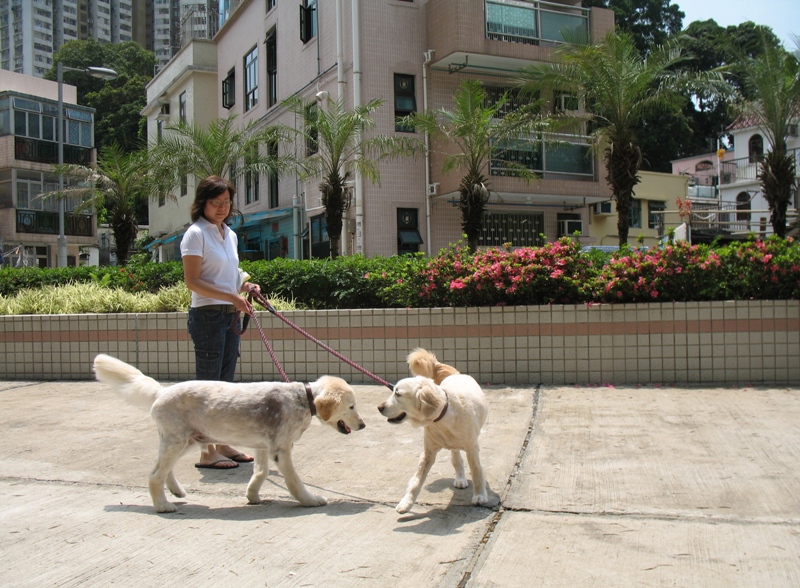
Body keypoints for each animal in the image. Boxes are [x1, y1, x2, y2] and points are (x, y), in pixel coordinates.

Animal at [94, 352, 366, 512]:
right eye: (352, 406)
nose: (363, 425)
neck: (302, 399)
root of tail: (162, 391)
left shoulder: (263, 446)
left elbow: (260, 472)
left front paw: (253, 495)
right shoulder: (281, 449)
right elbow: (294, 481)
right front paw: (309, 500)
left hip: (186, 441)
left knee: (161, 469)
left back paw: (175, 490)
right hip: (177, 441)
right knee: (154, 474)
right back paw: (162, 505)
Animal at [380, 350, 490, 516]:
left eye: (397, 394)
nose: (379, 407)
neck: (442, 416)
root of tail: (456, 374)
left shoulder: (472, 448)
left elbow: (476, 470)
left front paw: (479, 496)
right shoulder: (428, 453)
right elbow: (416, 481)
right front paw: (406, 503)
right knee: (456, 459)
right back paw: (460, 478)